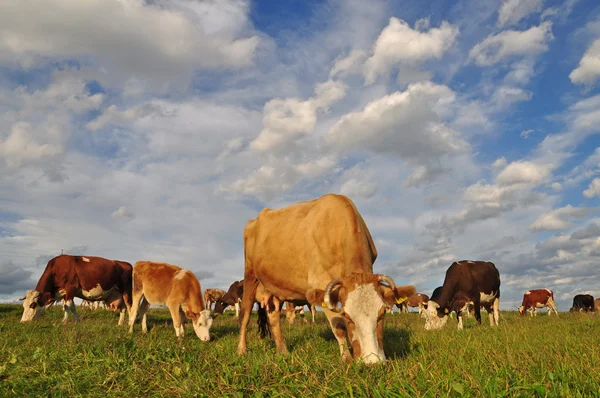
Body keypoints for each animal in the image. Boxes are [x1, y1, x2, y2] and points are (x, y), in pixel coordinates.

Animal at [237, 193, 414, 364]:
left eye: (383, 312)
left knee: (273, 315)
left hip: (275, 286)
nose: (373, 362)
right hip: (249, 274)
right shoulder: (322, 284)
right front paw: (346, 359)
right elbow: (339, 328)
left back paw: (282, 351)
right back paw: (241, 350)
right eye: (346, 316)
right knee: (245, 314)